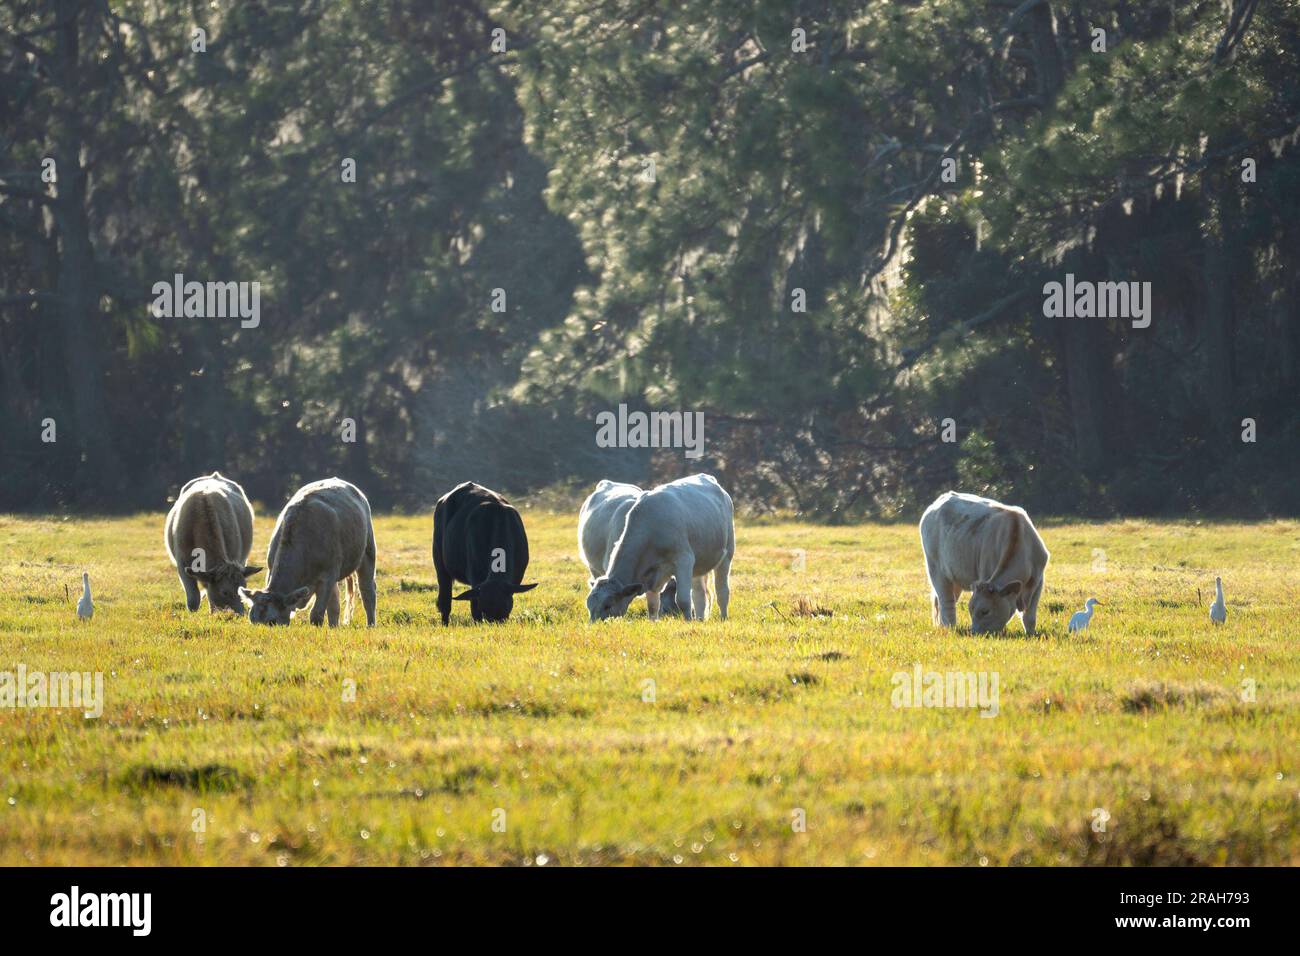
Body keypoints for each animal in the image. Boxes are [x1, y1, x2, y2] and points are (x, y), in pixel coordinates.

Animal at [241, 478, 378, 627]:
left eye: (272, 621)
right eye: (252, 620)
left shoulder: (328, 577)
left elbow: (316, 614)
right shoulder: (270, 569)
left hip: (368, 553)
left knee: (367, 592)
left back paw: (370, 624)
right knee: (334, 606)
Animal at [432, 482, 538, 624]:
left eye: (507, 608)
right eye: (484, 609)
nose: (494, 622)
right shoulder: (475, 577)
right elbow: (474, 608)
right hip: (440, 564)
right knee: (445, 599)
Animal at [919, 491, 1049, 635]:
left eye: (985, 611)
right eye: (971, 609)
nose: (974, 633)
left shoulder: (1038, 582)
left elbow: (1030, 616)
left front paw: (1031, 634)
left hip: (955, 576)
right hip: (935, 569)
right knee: (946, 602)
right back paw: (949, 627)